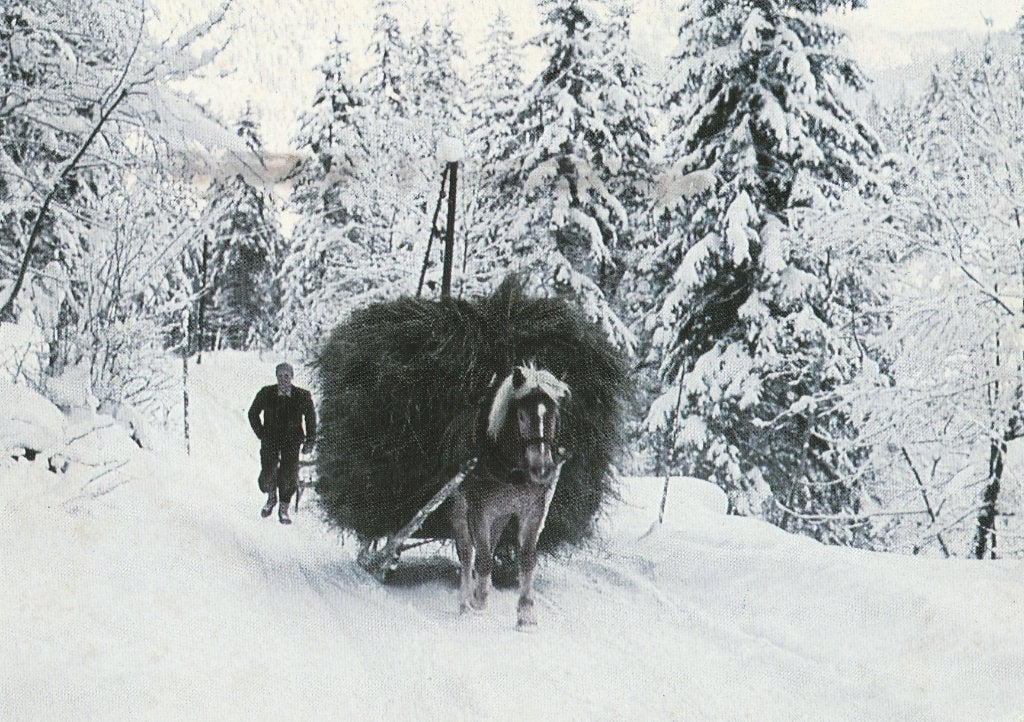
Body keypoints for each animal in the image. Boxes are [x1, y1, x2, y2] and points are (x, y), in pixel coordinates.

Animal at [449, 363, 570, 630]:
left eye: (553, 416)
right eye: (522, 416)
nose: (542, 469)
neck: (509, 467)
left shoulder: (532, 510)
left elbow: (526, 559)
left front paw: (526, 613)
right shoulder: (479, 509)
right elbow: (482, 559)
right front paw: (478, 603)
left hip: (501, 515)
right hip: (459, 507)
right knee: (467, 553)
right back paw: (464, 604)